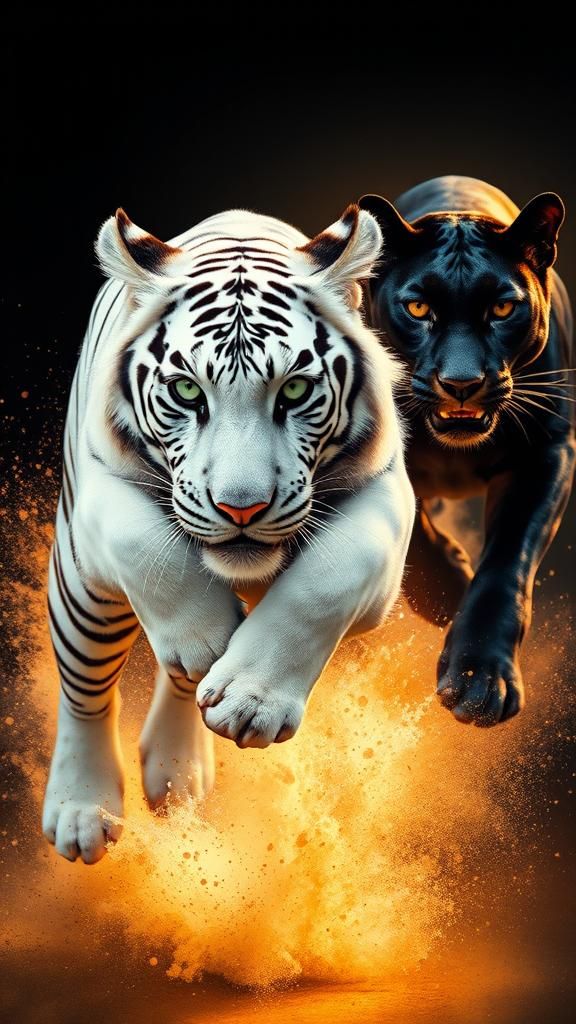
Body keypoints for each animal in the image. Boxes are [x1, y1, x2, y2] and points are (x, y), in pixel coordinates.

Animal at [42, 203, 415, 864]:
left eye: (295, 388)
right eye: (188, 389)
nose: (242, 508)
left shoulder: (387, 492)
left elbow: (332, 576)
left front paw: (249, 700)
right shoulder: (94, 488)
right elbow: (143, 545)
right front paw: (211, 640)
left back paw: (177, 778)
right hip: (81, 597)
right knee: (87, 689)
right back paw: (83, 809)